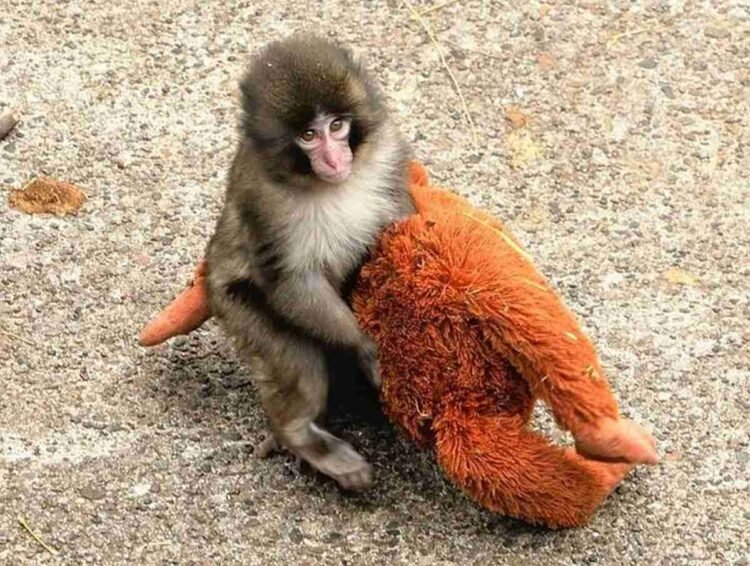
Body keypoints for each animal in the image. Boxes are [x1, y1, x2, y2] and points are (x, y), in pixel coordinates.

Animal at [205, 34, 415, 491]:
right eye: (307, 135)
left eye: (337, 126)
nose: (335, 160)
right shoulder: (262, 199)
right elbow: (290, 281)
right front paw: (364, 347)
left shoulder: (387, 152)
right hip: (233, 305)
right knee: (296, 358)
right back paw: (300, 435)